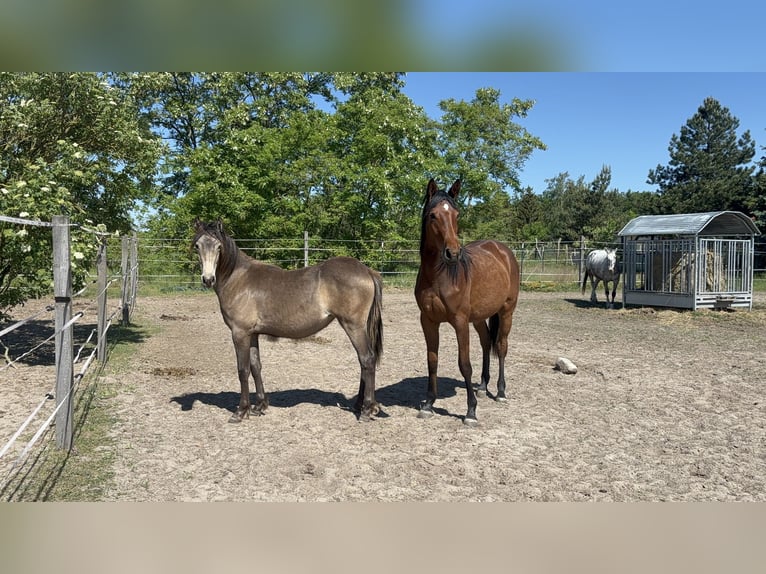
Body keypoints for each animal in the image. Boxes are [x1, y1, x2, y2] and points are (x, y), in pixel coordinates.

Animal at [192, 220, 384, 424]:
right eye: (197, 246)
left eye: (219, 247)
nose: (208, 279)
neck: (238, 279)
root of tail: (367, 270)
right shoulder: (252, 334)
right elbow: (255, 366)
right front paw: (259, 406)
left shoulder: (239, 333)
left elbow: (243, 370)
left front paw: (241, 411)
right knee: (363, 362)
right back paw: (359, 404)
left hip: (353, 326)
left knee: (367, 359)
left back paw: (367, 410)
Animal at [414, 180, 520, 428]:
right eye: (433, 215)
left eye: (456, 214)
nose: (452, 253)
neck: (439, 276)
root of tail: (503, 251)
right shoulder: (428, 321)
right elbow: (432, 360)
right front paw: (428, 404)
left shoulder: (460, 322)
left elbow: (464, 364)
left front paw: (471, 411)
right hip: (480, 317)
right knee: (486, 343)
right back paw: (482, 386)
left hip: (507, 312)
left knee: (501, 346)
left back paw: (500, 392)